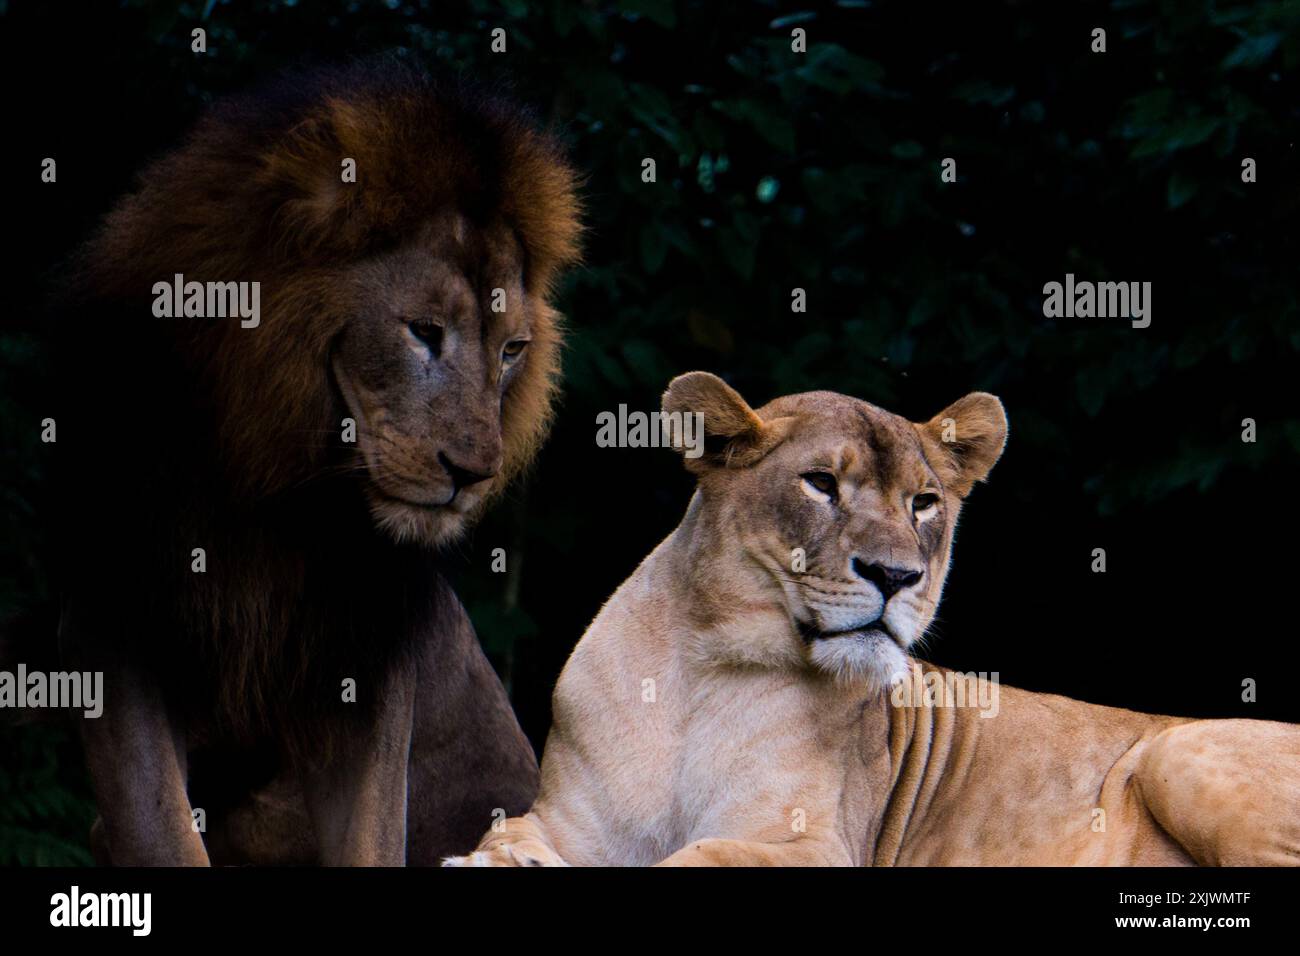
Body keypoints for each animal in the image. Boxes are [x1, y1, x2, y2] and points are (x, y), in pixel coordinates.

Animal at [44, 61, 581, 865]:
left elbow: (371, 835)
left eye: (513, 350)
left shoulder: (367, 660)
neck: (270, 485)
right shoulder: (116, 634)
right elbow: (162, 831)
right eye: (423, 331)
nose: (474, 477)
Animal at [446, 372, 1300, 866]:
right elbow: (504, 835)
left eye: (923, 503)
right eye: (821, 483)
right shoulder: (568, 820)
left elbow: (698, 858)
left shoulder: (812, 844)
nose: (896, 576)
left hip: (1180, 750)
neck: (707, 671)